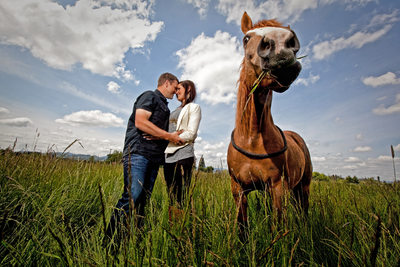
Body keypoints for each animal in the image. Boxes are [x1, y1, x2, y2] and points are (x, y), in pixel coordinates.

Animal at [228, 12, 312, 234]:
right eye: (246, 38)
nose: (282, 48)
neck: (252, 137)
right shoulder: (238, 189)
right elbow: (242, 227)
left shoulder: (277, 187)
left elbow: (278, 225)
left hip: (303, 185)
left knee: (303, 210)